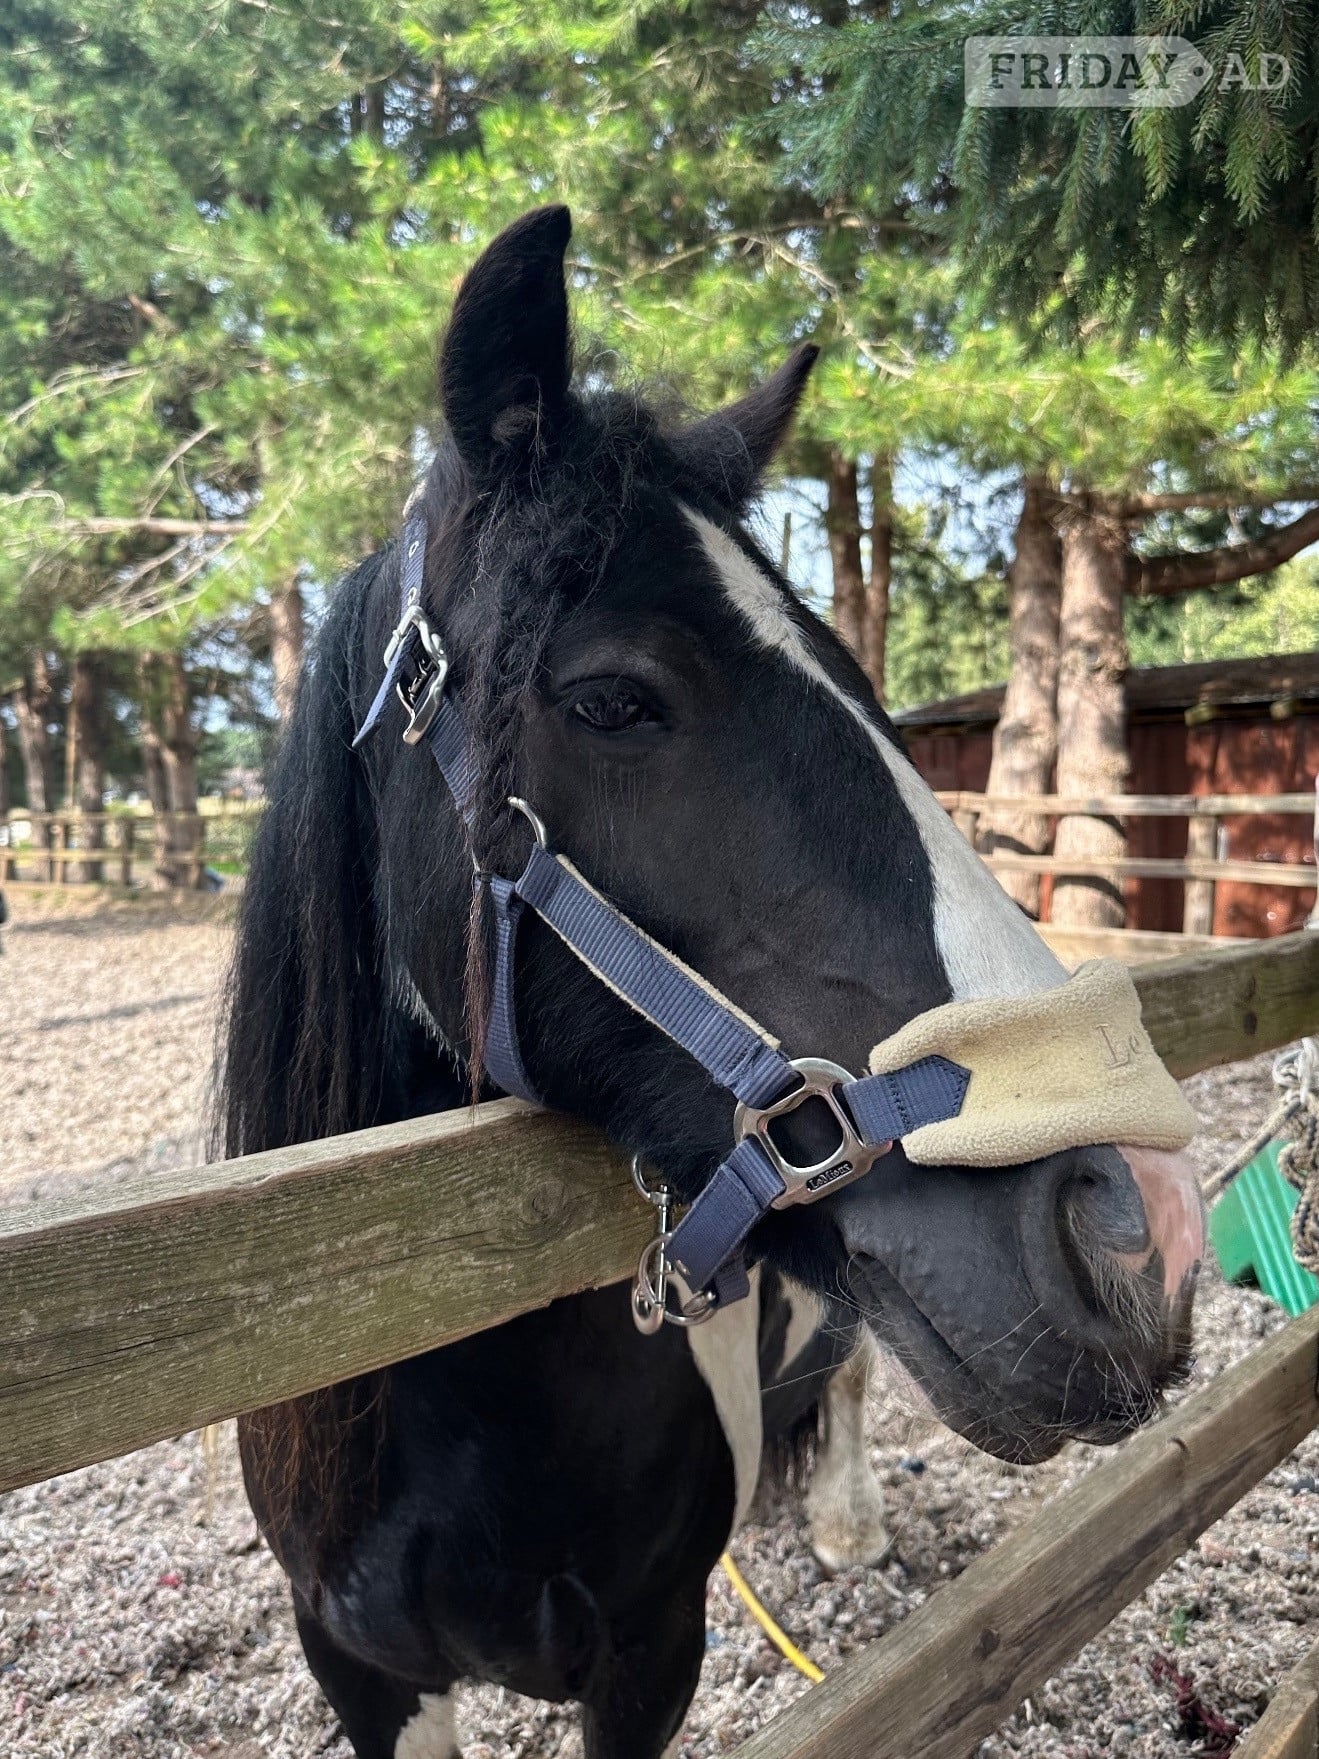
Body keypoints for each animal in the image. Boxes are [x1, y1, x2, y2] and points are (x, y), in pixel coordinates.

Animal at [220, 205, 1204, 1759]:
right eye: (614, 698)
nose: (1139, 1223)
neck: (466, 1411)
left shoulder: (651, 1655)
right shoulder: (357, 1665)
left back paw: (850, 1526)